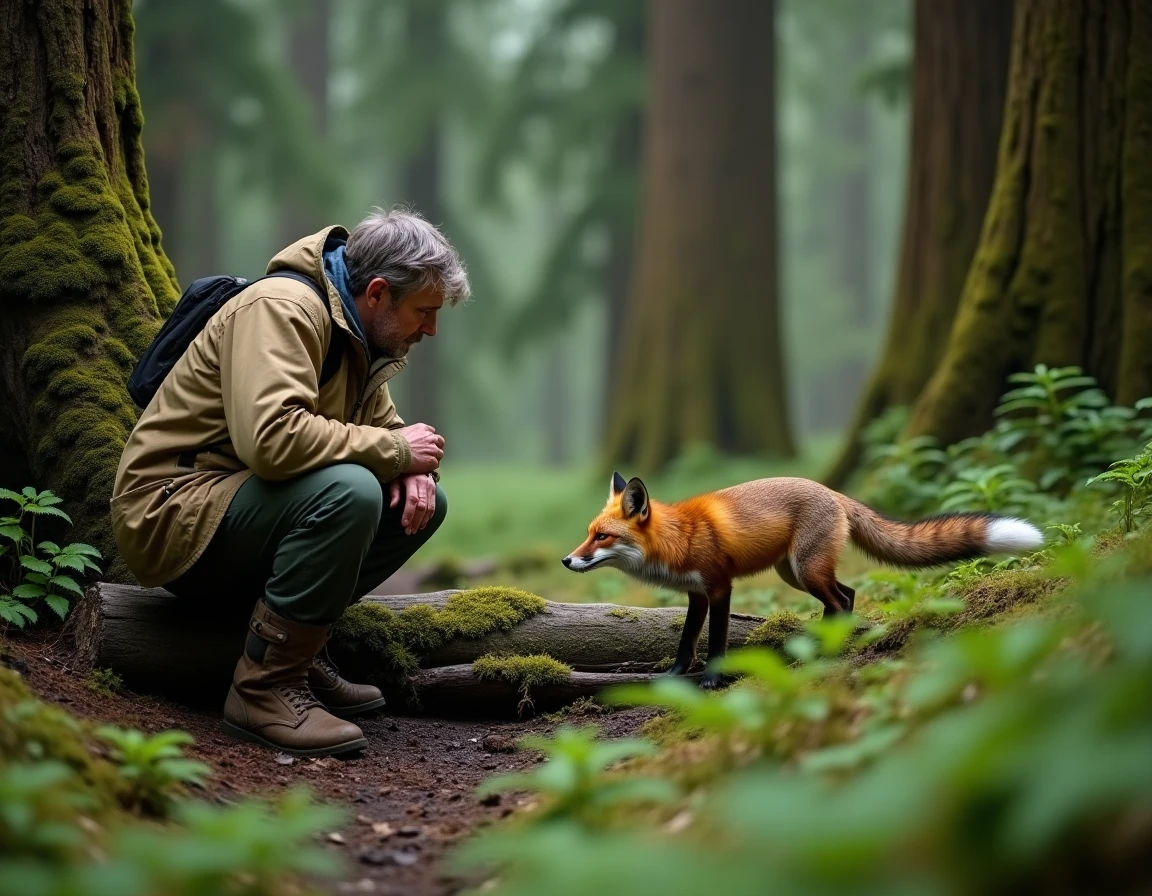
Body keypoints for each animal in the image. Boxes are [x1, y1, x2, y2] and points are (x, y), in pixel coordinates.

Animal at [562, 472, 1044, 688]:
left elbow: (715, 642)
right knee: (847, 594)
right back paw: (821, 645)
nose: (568, 560)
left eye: (603, 537)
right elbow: (685, 643)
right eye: (588, 533)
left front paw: (712, 681)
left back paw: (829, 651)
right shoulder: (696, 595)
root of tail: (832, 491)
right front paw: (674, 677)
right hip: (794, 574)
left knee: (842, 600)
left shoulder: (719, 588)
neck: (677, 537)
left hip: (806, 571)